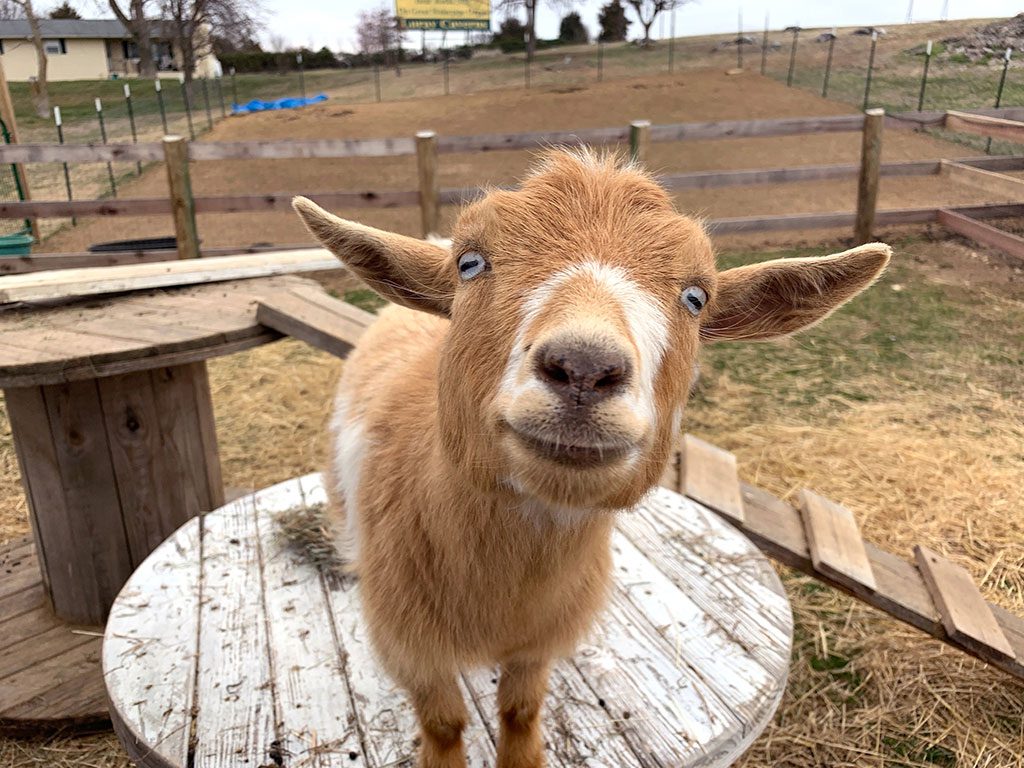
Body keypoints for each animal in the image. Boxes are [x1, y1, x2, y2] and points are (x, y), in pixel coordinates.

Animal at [293, 148, 890, 768]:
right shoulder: (410, 646)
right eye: (470, 263)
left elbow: (521, 709)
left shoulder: (540, 641)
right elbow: (443, 723)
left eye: (696, 297)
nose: (583, 367)